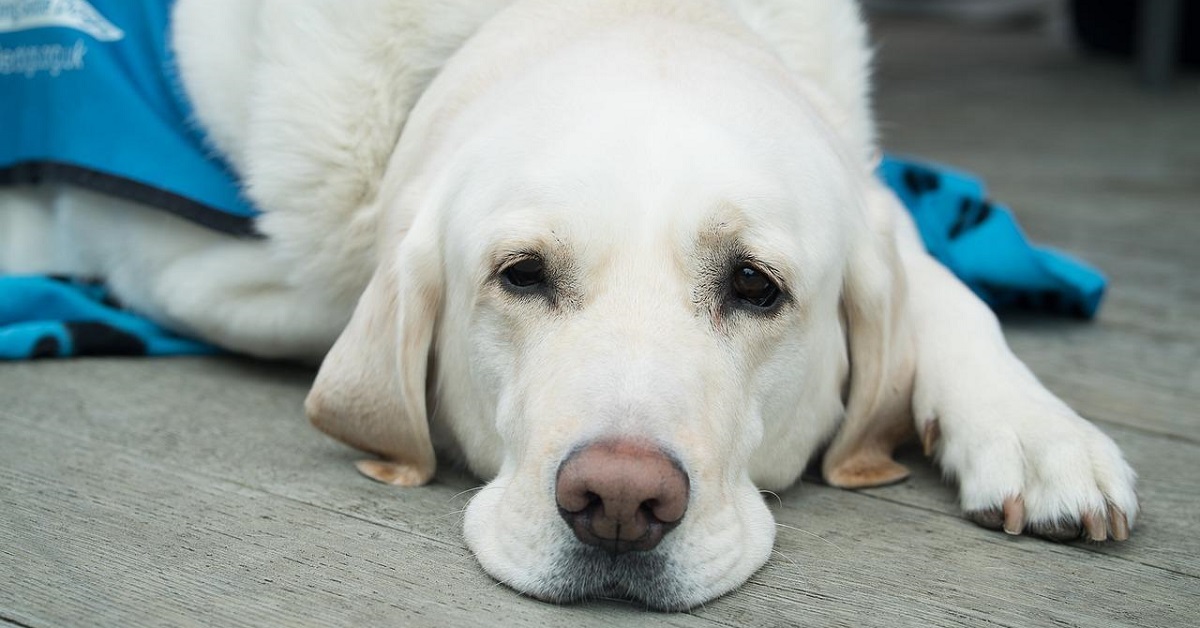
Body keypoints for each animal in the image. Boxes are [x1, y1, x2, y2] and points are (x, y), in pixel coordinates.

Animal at [4, 0, 1137, 612]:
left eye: (754, 286)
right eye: (521, 275)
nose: (621, 502)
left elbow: (939, 285)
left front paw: (1038, 432)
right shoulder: (189, 261)